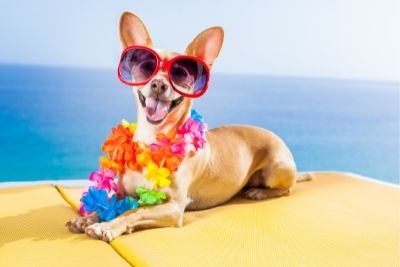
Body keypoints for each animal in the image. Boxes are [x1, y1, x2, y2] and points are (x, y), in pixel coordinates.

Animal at [66, 12, 312, 243]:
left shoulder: (174, 207)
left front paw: (107, 226)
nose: (159, 84)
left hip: (277, 168)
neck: (153, 140)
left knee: (287, 189)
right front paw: (88, 218)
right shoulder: (121, 193)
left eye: (181, 75)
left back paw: (259, 192)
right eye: (145, 67)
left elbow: (135, 212)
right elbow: (108, 204)